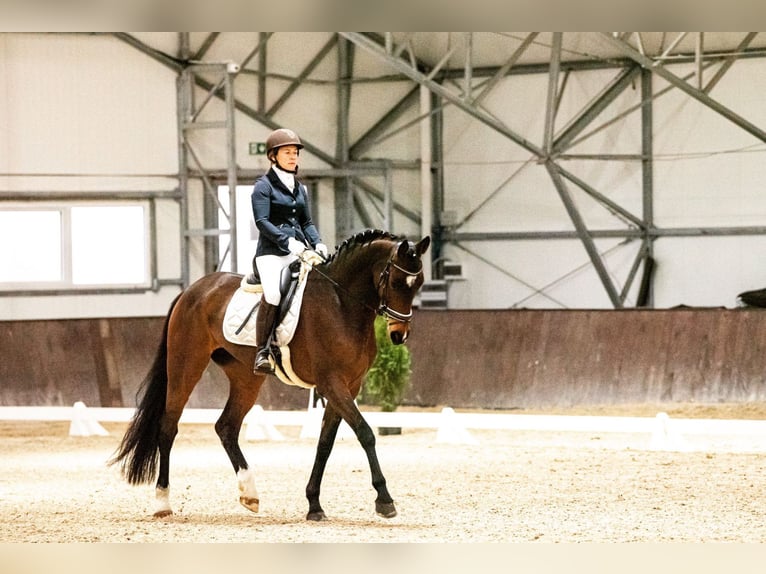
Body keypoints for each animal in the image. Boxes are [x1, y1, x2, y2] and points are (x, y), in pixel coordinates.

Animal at [109, 230, 432, 520]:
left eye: (419, 283)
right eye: (395, 282)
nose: (399, 334)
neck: (341, 303)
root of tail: (192, 289)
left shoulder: (349, 386)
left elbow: (325, 444)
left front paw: (314, 505)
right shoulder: (332, 383)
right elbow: (365, 433)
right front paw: (385, 500)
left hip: (246, 377)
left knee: (226, 426)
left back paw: (249, 494)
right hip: (185, 365)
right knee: (168, 427)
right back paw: (163, 503)